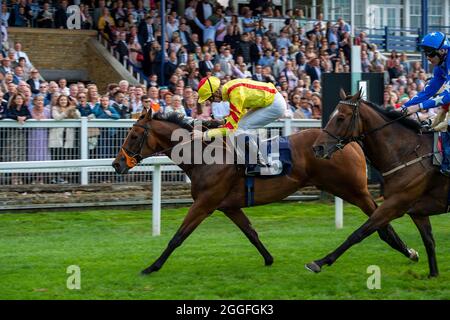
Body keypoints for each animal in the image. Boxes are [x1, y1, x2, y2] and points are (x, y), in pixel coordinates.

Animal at [113, 110, 418, 276]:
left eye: (134, 136)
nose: (116, 164)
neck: (203, 156)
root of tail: (348, 142)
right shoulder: (228, 206)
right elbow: (251, 233)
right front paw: (269, 259)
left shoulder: (205, 203)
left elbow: (178, 237)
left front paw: (151, 267)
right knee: (380, 219)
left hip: (353, 189)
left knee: (380, 219)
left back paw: (407, 250)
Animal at [310, 89, 450, 278]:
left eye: (341, 117)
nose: (317, 148)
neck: (407, 153)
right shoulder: (416, 210)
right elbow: (428, 240)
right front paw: (433, 274)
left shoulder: (395, 204)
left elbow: (359, 233)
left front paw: (320, 262)